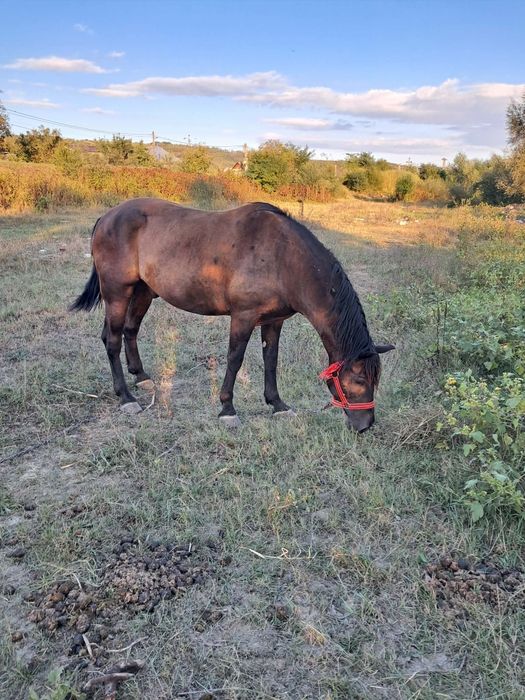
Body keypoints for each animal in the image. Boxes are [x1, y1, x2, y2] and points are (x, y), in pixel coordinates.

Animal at [70, 198, 394, 432]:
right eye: (359, 381)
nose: (365, 426)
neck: (283, 258)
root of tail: (107, 217)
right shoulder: (243, 316)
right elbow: (235, 359)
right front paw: (227, 409)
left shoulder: (273, 321)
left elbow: (271, 360)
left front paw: (277, 405)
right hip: (117, 292)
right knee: (112, 339)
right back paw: (126, 397)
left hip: (143, 291)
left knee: (130, 330)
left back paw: (141, 377)